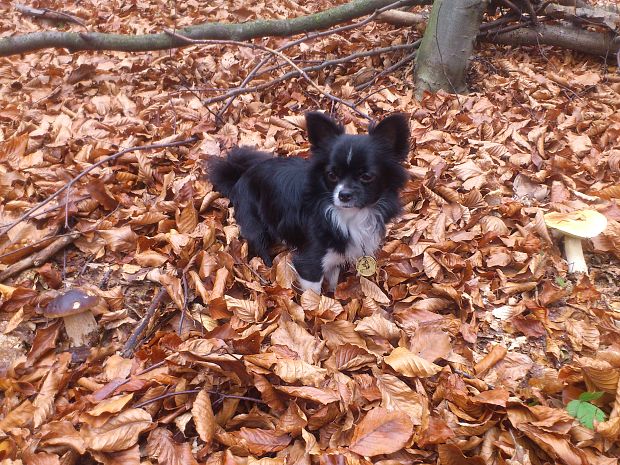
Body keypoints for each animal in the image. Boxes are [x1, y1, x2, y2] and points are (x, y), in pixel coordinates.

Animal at [209, 111, 412, 294]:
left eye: (367, 176)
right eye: (331, 175)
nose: (344, 195)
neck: (350, 215)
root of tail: (241, 175)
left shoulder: (335, 258)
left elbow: (332, 282)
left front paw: (333, 297)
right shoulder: (309, 264)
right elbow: (313, 297)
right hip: (255, 223)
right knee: (260, 246)